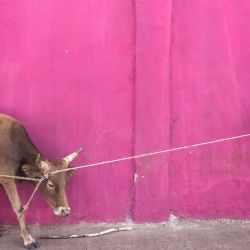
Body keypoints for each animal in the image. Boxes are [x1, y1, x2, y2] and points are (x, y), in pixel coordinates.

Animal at [0, 114, 82, 249]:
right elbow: (19, 207)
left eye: (65, 183)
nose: (65, 211)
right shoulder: (7, 178)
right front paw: (28, 239)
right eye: (50, 184)